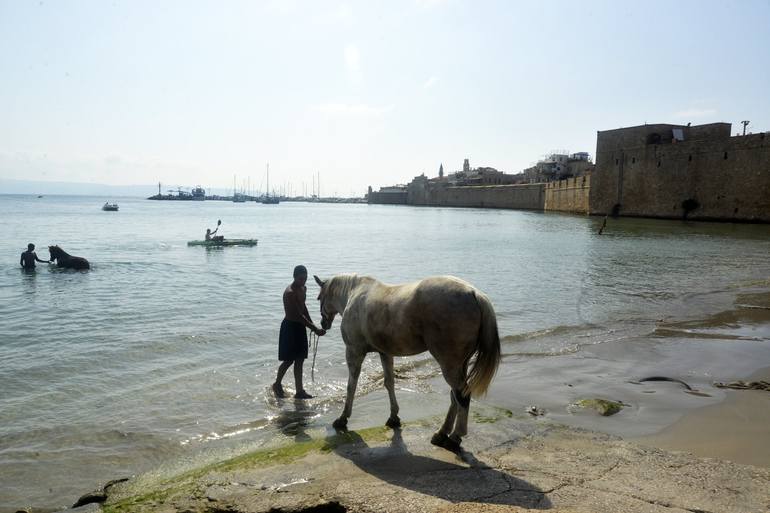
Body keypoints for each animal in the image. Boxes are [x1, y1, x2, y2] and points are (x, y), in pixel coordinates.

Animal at [314, 274, 500, 450]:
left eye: (319, 297)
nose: (323, 323)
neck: (354, 293)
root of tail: (474, 293)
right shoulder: (385, 353)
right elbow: (389, 382)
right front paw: (393, 417)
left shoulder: (354, 352)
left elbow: (351, 386)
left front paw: (343, 418)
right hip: (460, 364)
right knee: (455, 396)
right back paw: (441, 434)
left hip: (450, 365)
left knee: (462, 395)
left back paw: (455, 437)